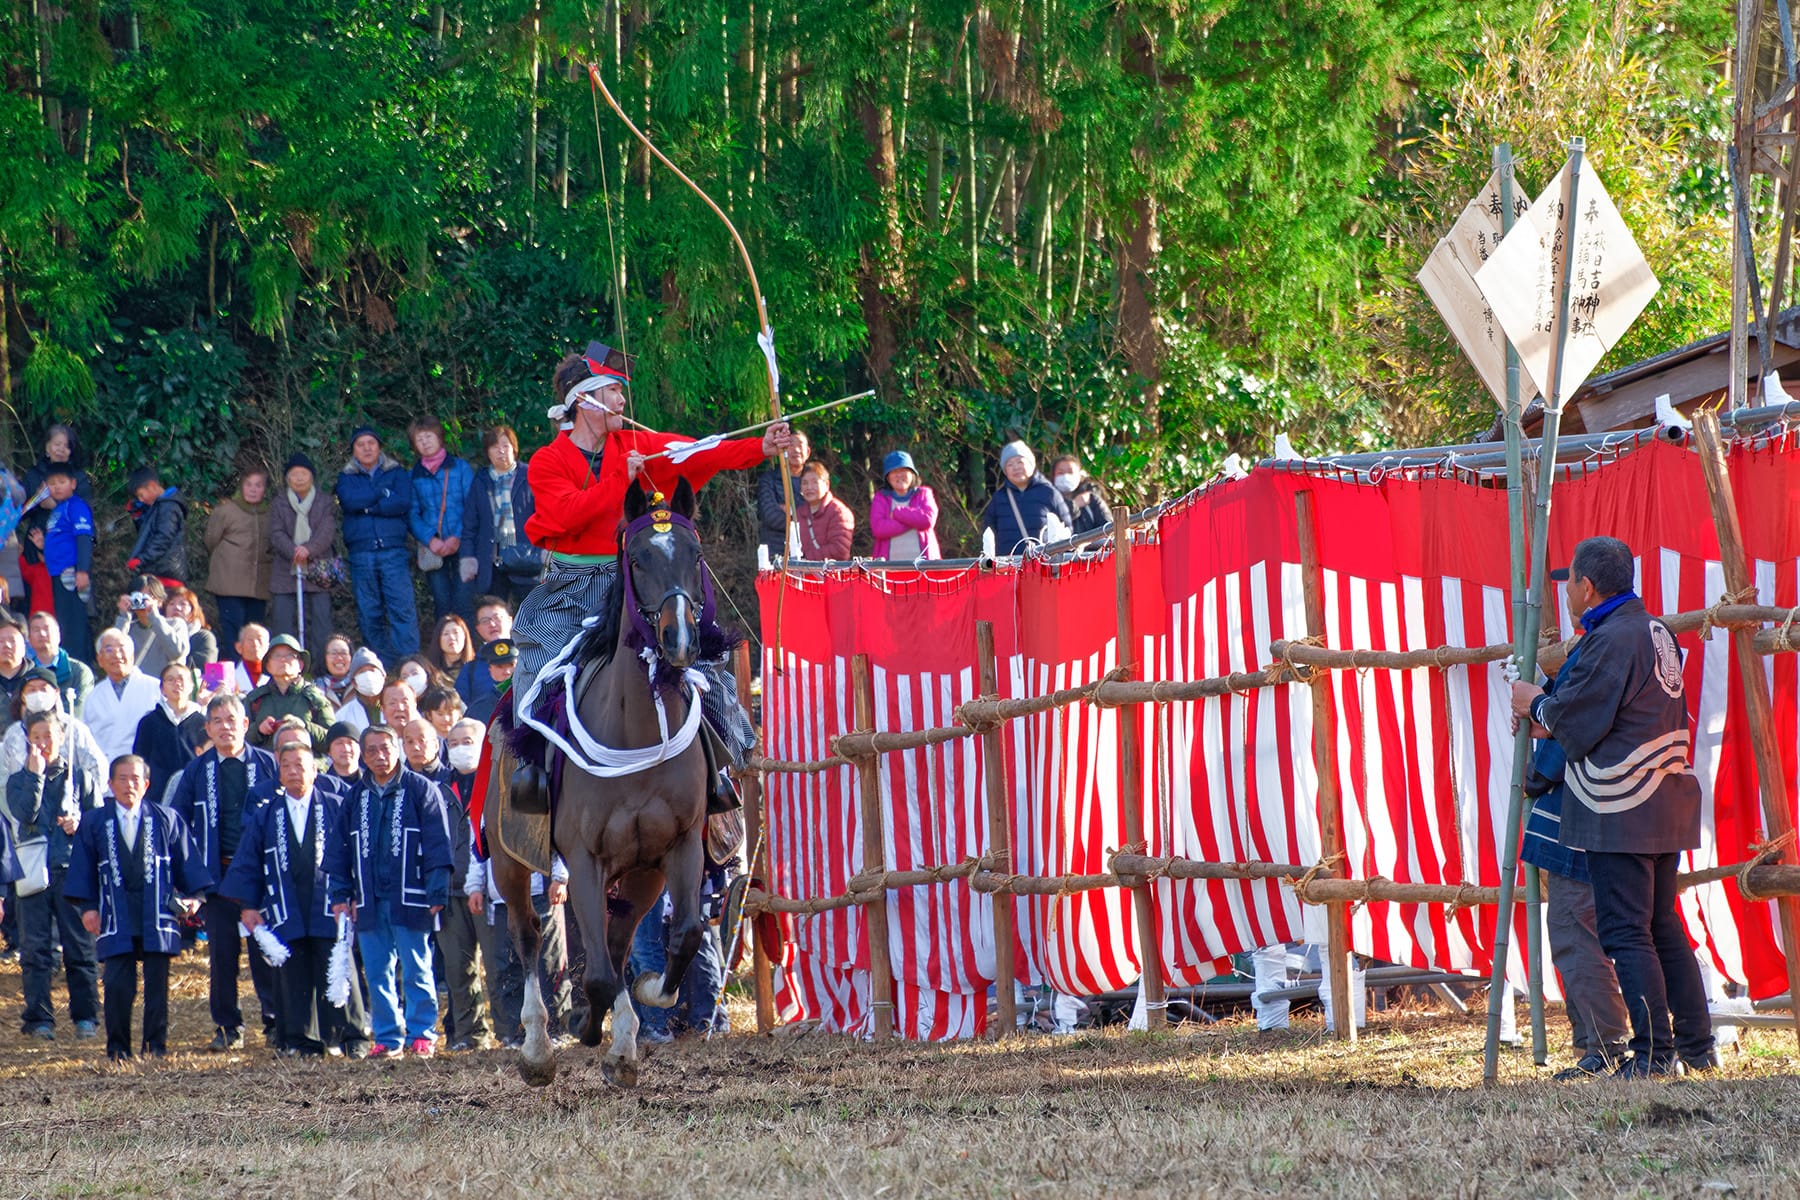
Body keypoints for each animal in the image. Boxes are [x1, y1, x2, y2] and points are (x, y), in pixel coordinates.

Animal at [500, 478, 716, 1086]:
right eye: (638, 559)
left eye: (694, 554)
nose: (680, 639)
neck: (634, 724)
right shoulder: (582, 857)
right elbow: (594, 972)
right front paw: (593, 1026)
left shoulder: (680, 845)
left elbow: (684, 935)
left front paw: (635, 1011)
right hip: (508, 860)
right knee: (528, 935)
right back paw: (538, 1047)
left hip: (641, 872)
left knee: (619, 940)